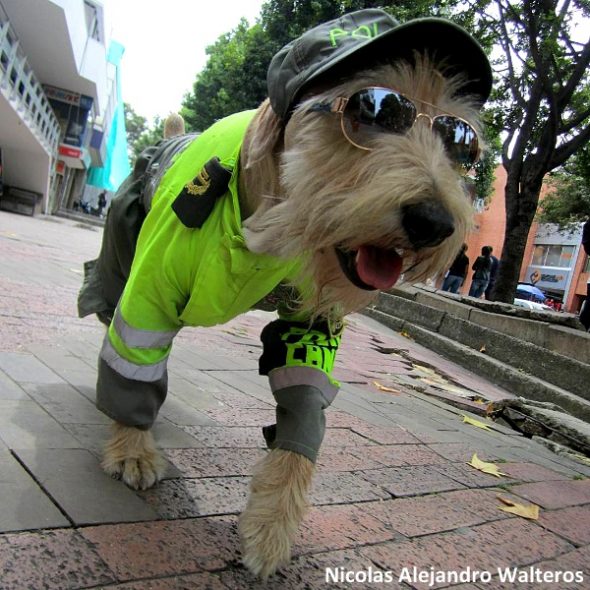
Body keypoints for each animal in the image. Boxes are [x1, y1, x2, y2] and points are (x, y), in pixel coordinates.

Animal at [80, 8, 494, 584]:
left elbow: (302, 412)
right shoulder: (149, 296)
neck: (275, 226)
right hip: (119, 255)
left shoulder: (312, 326)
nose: (436, 224)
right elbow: (134, 355)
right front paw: (132, 448)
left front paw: (272, 526)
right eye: (374, 109)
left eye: (462, 142)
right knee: (105, 304)